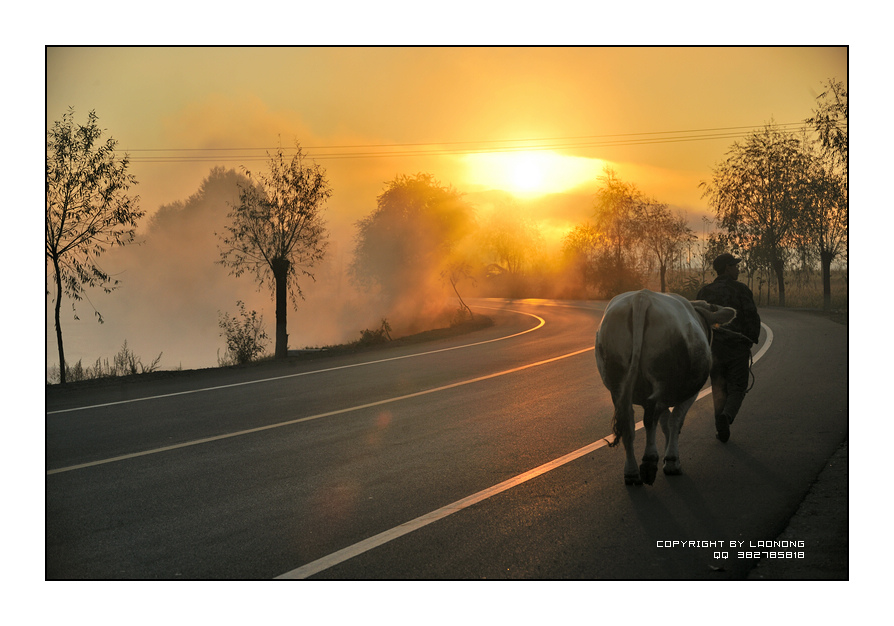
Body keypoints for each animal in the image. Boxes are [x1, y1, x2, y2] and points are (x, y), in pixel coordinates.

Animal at [600, 290, 740, 486]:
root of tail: (642, 297)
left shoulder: (666, 398)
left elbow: (665, 423)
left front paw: (669, 458)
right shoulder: (689, 393)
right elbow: (675, 422)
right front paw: (672, 461)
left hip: (617, 385)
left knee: (628, 421)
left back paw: (632, 473)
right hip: (662, 381)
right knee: (650, 415)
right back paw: (649, 462)